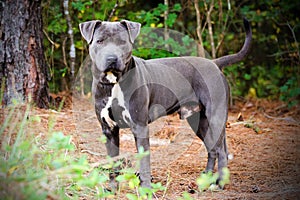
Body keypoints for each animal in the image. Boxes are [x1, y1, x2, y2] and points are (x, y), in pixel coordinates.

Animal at [79, 18, 251, 189]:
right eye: (100, 41)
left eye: (122, 42)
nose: (111, 58)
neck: (113, 83)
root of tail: (214, 63)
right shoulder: (108, 129)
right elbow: (113, 161)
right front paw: (112, 188)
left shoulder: (140, 126)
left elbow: (144, 161)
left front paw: (146, 189)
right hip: (200, 122)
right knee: (212, 149)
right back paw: (206, 177)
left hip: (215, 117)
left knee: (221, 151)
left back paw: (219, 184)